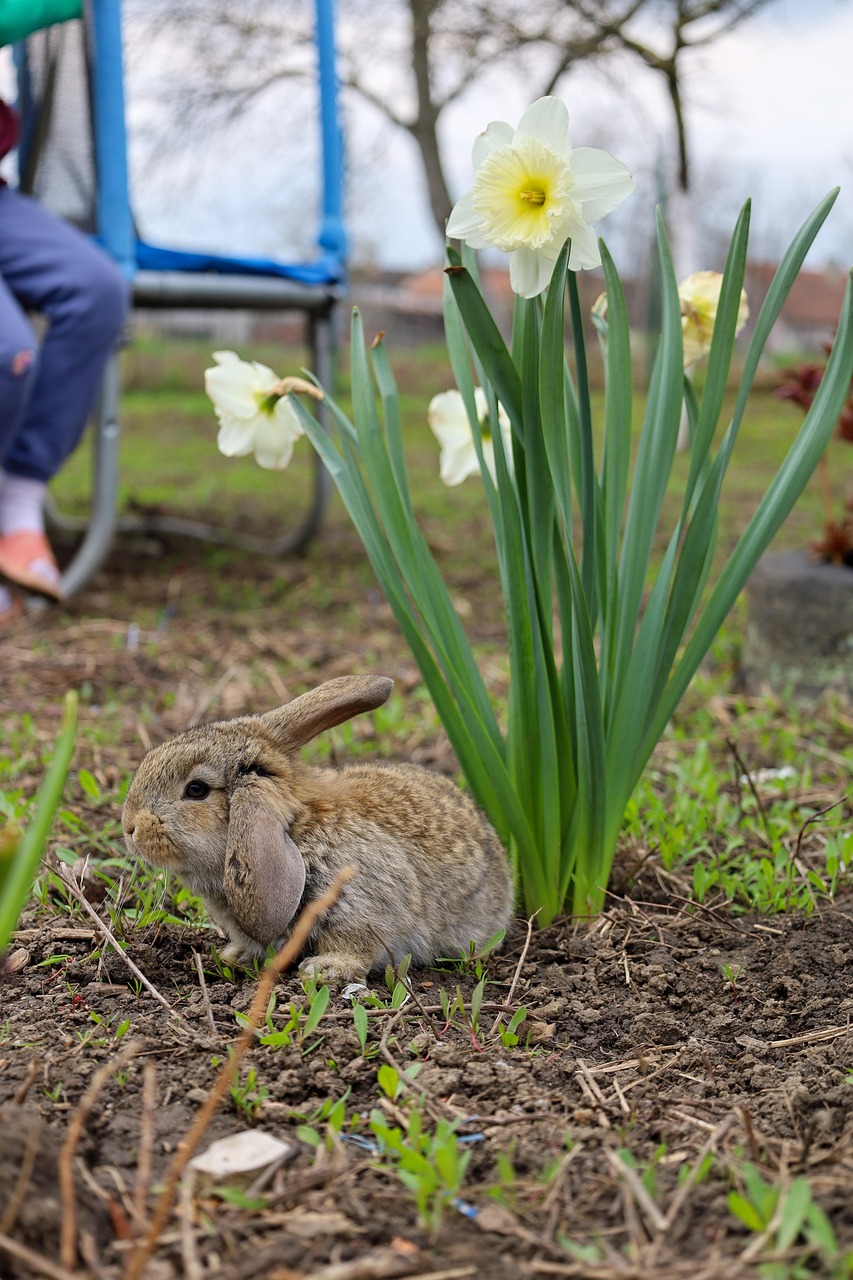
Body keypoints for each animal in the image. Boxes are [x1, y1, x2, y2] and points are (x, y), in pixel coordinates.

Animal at [122, 674, 514, 981]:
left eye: (196, 790)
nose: (129, 827)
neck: (297, 833)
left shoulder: (359, 905)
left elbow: (356, 944)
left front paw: (324, 969)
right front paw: (235, 955)